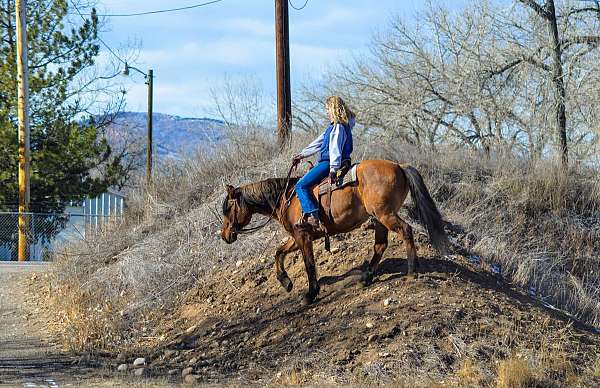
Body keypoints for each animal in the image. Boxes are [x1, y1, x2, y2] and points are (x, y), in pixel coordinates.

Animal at [220, 159, 446, 304]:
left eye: (228, 208)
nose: (225, 235)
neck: (287, 198)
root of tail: (399, 166)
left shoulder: (303, 236)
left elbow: (309, 264)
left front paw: (310, 294)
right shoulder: (298, 236)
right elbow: (279, 252)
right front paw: (285, 282)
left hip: (386, 215)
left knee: (406, 230)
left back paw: (411, 271)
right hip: (380, 218)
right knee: (380, 245)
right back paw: (366, 277)